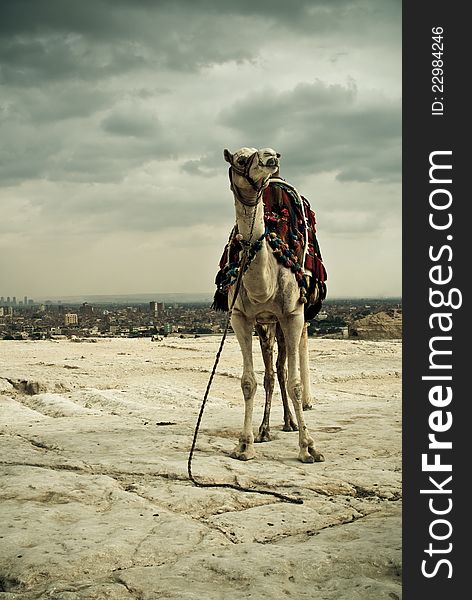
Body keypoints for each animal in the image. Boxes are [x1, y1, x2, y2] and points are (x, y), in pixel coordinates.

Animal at [223, 146, 322, 464]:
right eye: (240, 159)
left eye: (260, 152)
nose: (271, 156)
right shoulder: (240, 317)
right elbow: (249, 381)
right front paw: (245, 444)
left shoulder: (291, 314)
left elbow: (294, 383)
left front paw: (309, 447)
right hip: (266, 324)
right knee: (271, 370)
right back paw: (266, 429)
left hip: (294, 318)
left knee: (287, 364)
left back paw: (293, 420)